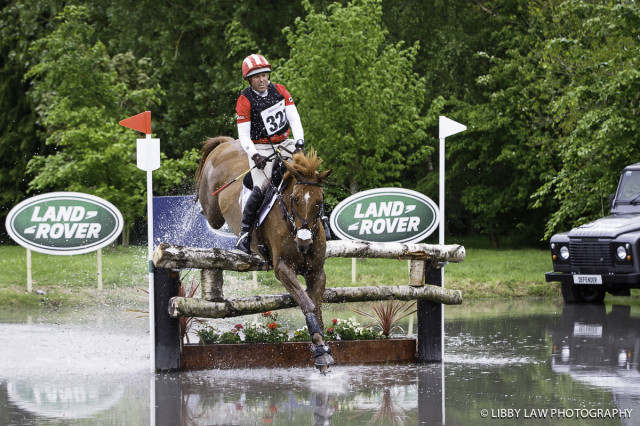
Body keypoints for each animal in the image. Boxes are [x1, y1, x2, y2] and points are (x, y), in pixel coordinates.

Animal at [195, 137, 336, 372]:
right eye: (295, 199)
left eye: (320, 200)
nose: (304, 242)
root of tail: (226, 143)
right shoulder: (282, 268)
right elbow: (307, 304)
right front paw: (320, 351)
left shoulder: (316, 272)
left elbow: (316, 308)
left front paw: (323, 353)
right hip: (212, 209)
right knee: (206, 211)